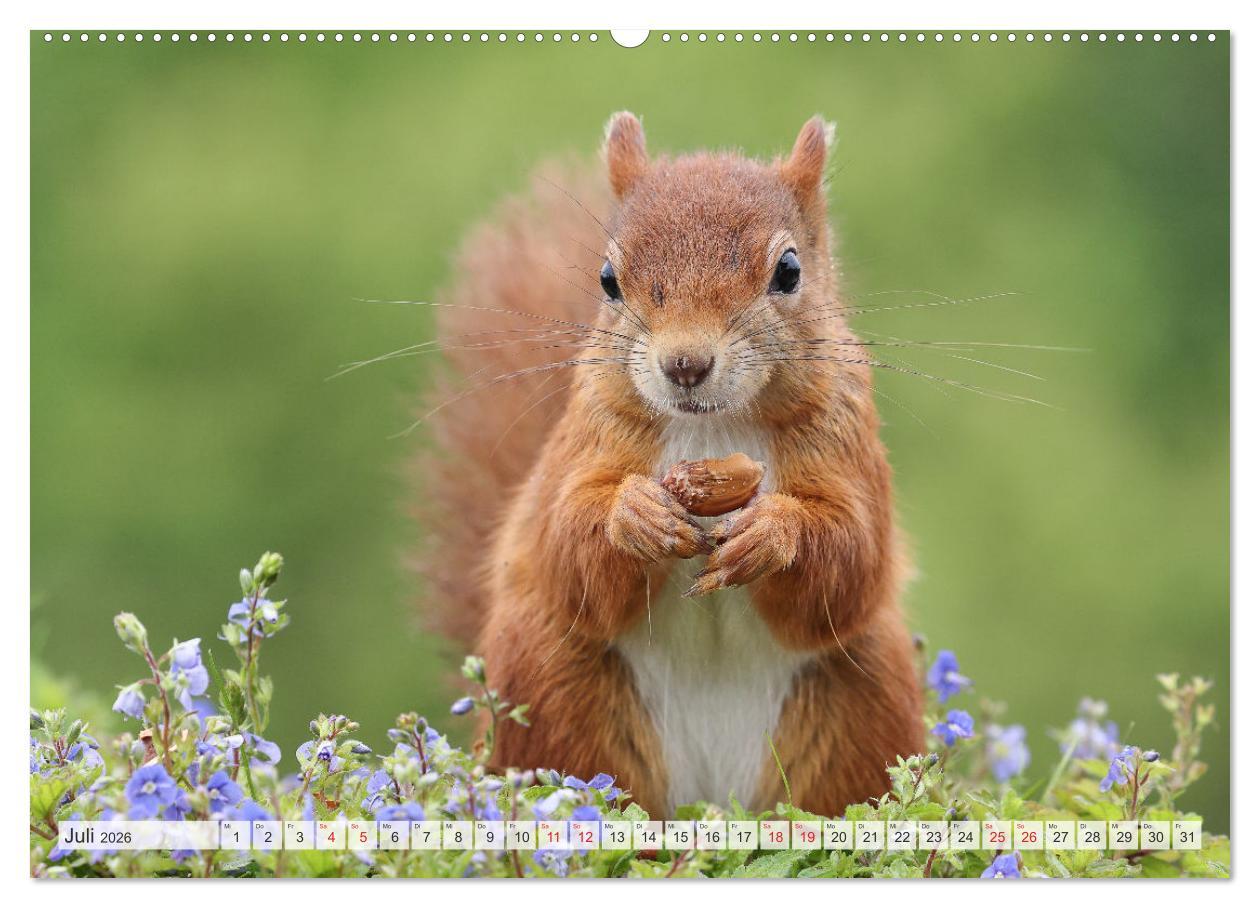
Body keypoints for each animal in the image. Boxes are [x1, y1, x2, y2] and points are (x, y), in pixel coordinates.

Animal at [416, 113, 923, 818]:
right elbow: (565, 537)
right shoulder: (586, 436)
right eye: (607, 277)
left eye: (789, 270)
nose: (685, 364)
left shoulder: (846, 435)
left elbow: (854, 555)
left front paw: (772, 533)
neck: (711, 426)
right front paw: (635, 517)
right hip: (555, 690)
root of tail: (712, 801)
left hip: (862, 698)